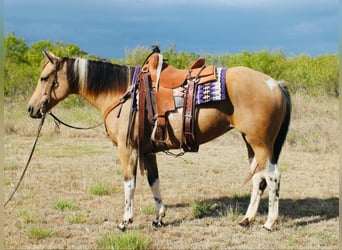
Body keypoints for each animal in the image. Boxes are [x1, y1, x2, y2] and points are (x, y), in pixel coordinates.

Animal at [27, 49, 292, 231]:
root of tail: (274, 83)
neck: (122, 93)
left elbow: (129, 183)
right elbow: (153, 181)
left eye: (44, 78)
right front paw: (159, 217)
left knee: (273, 176)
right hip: (251, 143)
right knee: (258, 178)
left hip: (261, 143)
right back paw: (247, 219)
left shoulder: (128, 149)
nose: (31, 109)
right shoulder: (148, 151)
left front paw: (125, 221)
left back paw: (269, 222)